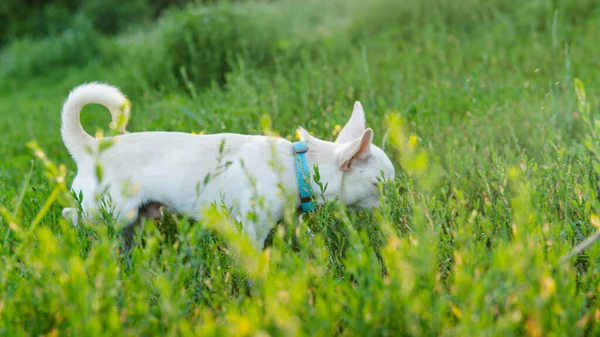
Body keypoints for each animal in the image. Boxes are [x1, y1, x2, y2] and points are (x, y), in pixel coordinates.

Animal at [59, 82, 394, 248]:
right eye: (380, 186)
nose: (397, 204)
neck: (297, 165)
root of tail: (90, 147)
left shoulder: (293, 222)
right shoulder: (252, 230)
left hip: (134, 219)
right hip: (110, 212)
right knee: (70, 215)